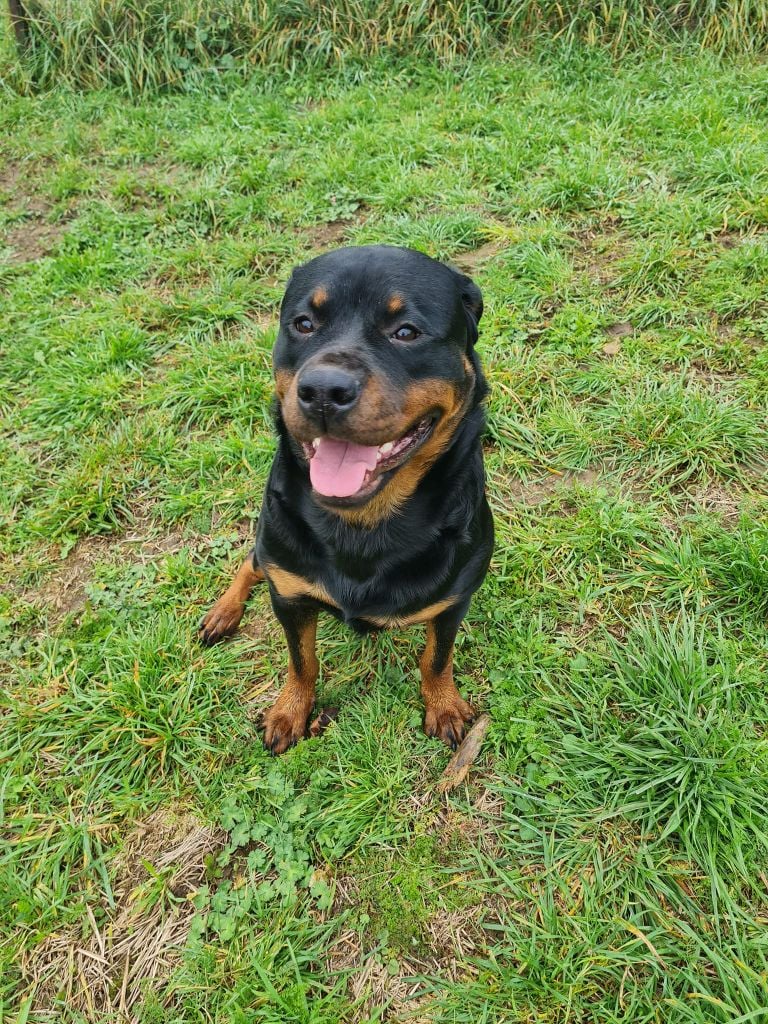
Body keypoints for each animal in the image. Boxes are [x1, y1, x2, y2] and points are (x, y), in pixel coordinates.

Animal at [198, 240, 495, 753]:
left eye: (406, 331)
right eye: (303, 324)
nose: (322, 390)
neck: (362, 523)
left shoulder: (455, 600)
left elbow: (437, 657)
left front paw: (444, 705)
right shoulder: (289, 595)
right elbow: (302, 660)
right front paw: (290, 711)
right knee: (250, 562)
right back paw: (223, 612)